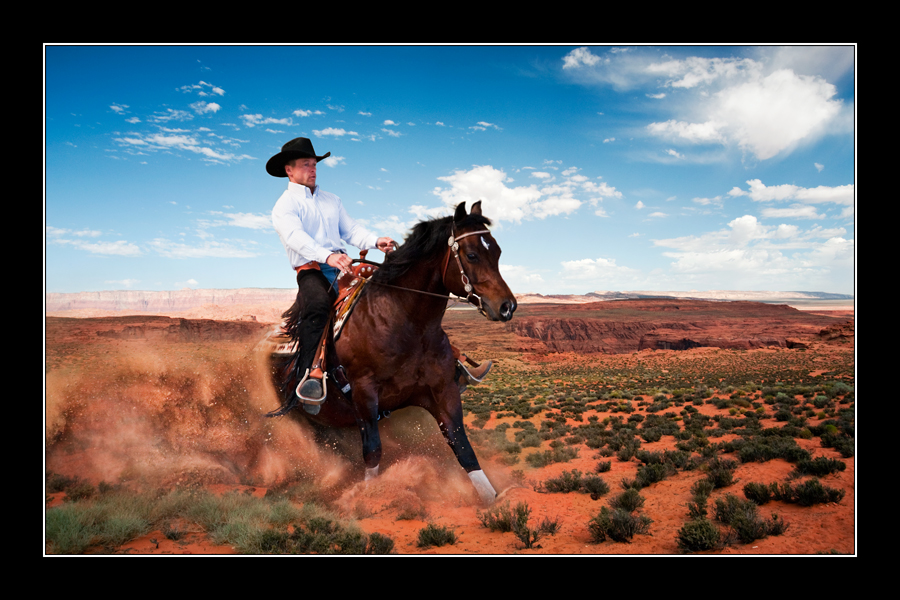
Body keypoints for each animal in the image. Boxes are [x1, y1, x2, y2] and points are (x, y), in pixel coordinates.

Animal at [268, 200, 512, 502]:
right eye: (472, 254)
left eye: (497, 252)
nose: (507, 306)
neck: (404, 323)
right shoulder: (364, 393)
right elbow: (373, 453)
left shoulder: (442, 392)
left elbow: (464, 449)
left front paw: (494, 500)